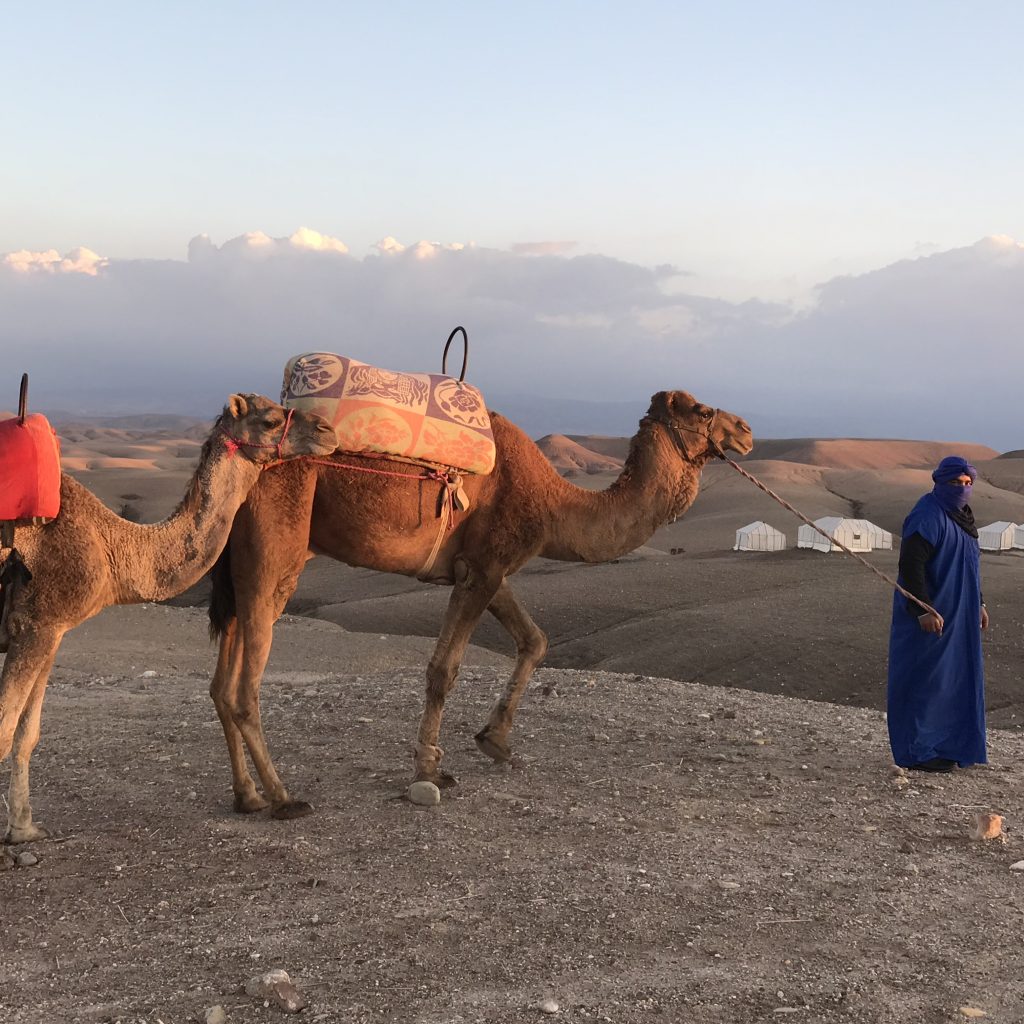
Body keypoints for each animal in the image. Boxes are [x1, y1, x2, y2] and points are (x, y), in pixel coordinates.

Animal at [0, 394, 337, 848]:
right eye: (269, 420)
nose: (327, 430)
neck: (113, 548)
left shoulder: (49, 629)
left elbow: (26, 732)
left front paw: (23, 830)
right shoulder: (36, 625)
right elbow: (5, 729)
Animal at [207, 389, 753, 816]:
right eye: (704, 410)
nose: (745, 430)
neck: (556, 502)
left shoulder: (483, 566)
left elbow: (535, 640)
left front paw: (496, 741)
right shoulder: (485, 568)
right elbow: (443, 669)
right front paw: (430, 768)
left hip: (235, 561)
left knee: (220, 682)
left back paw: (247, 796)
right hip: (274, 554)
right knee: (245, 681)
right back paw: (282, 799)